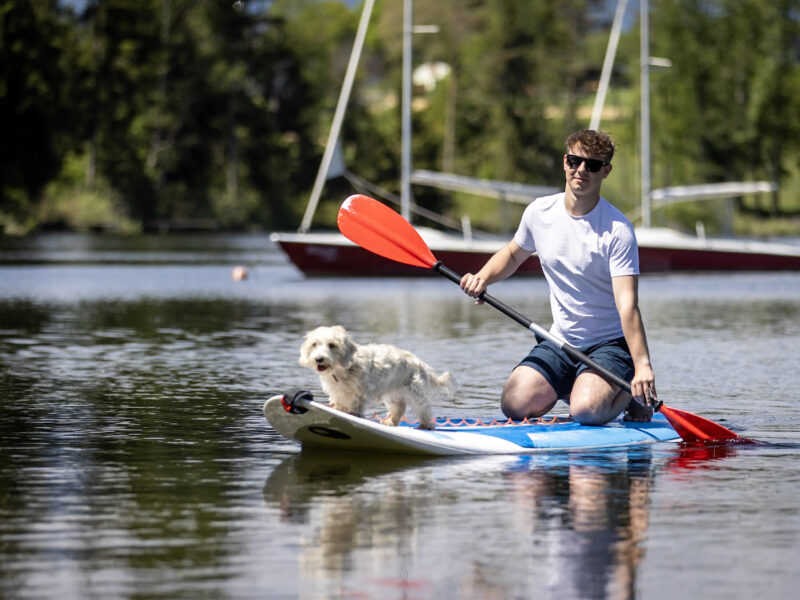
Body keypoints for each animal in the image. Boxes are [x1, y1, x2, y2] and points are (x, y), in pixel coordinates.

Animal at [296, 326, 454, 428]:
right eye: (314, 344)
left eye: (332, 345)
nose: (319, 359)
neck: (343, 370)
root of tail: (422, 364)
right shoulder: (337, 392)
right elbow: (339, 403)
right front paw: (338, 410)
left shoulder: (361, 392)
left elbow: (356, 405)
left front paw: (353, 414)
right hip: (393, 396)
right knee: (399, 409)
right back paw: (390, 422)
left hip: (416, 394)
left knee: (425, 409)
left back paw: (426, 425)